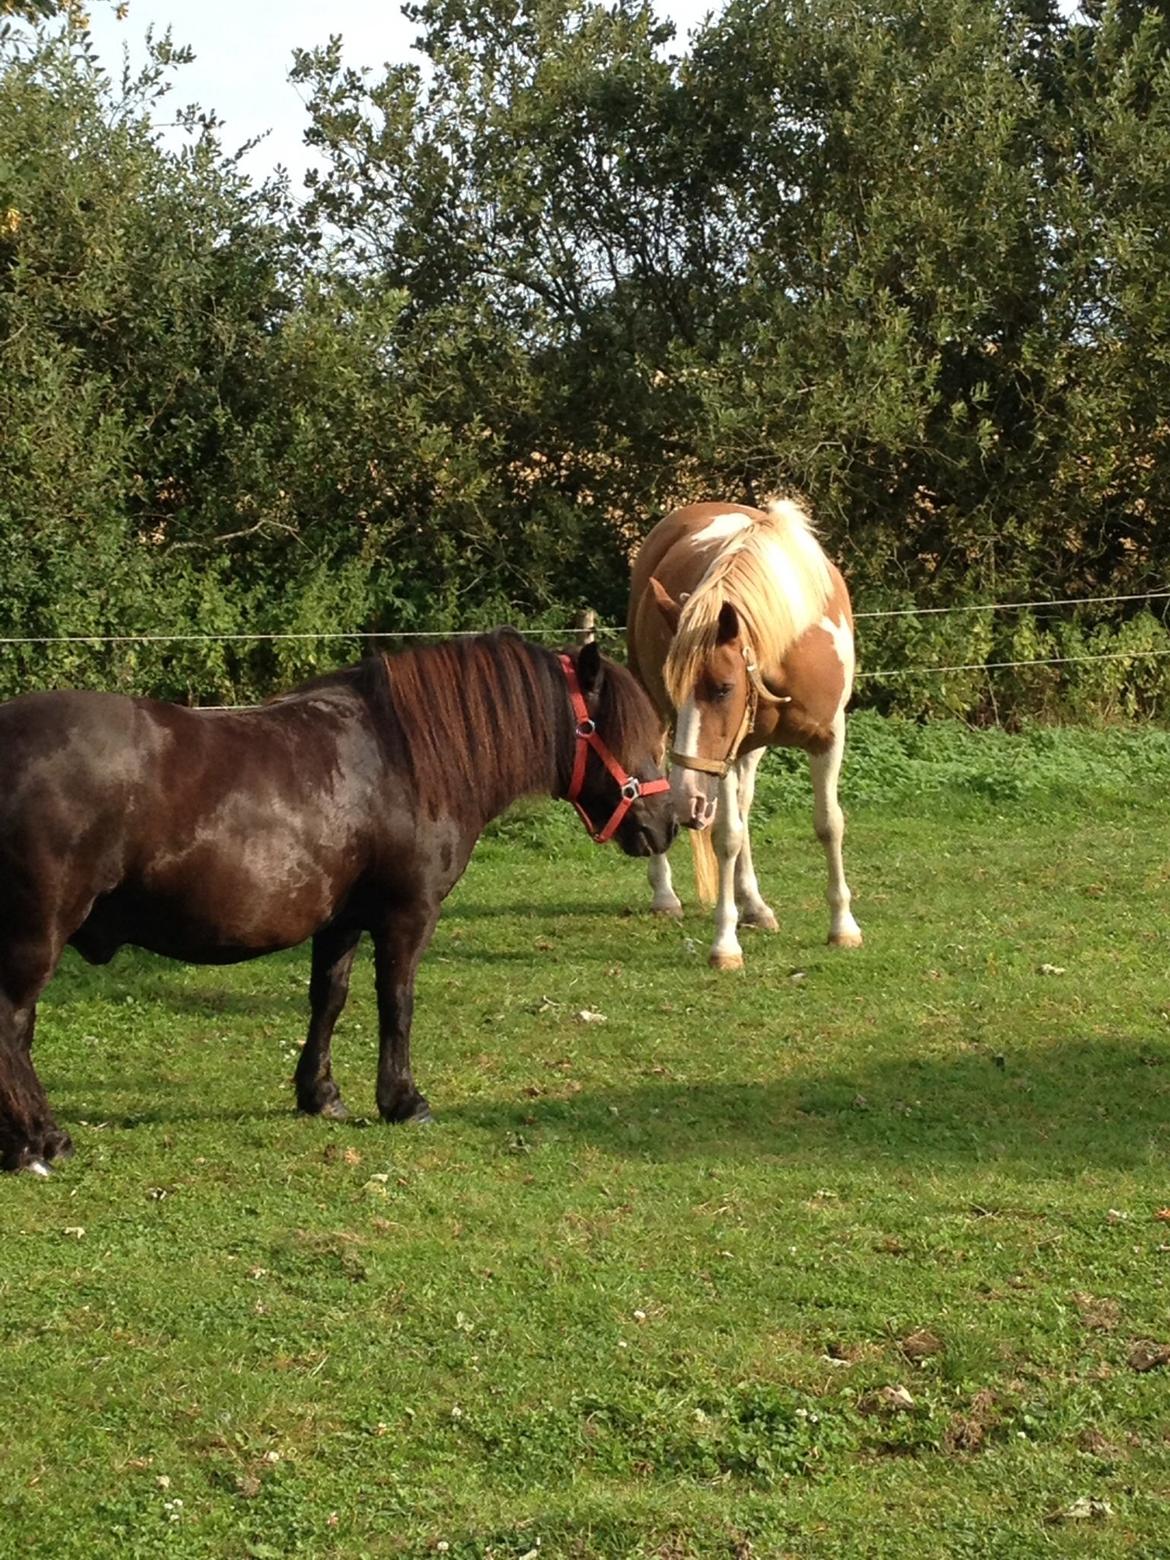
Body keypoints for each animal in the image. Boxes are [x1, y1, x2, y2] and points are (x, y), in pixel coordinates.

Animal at [0, 630, 673, 1173]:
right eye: (618, 730)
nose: (669, 821)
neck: (404, 758)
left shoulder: (341, 921)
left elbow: (329, 998)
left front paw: (319, 1094)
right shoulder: (408, 915)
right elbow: (396, 1004)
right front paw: (403, 1100)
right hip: (37, 933)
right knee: (11, 1024)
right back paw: (40, 1142)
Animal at [633, 499, 861, 967]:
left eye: (723, 688)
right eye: (675, 688)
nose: (686, 800)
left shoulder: (828, 737)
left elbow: (829, 824)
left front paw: (843, 926)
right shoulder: (722, 756)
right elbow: (728, 836)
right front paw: (725, 943)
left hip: (746, 753)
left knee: (743, 804)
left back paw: (754, 905)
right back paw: (665, 895)